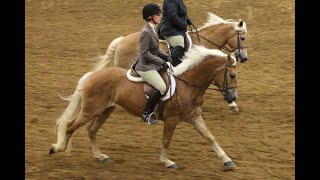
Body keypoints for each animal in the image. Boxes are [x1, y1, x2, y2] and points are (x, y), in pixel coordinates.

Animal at [50, 46, 239, 169]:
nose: (232, 98)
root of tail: (91, 75)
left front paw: (227, 160)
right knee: (71, 126)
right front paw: (166, 161)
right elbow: (166, 140)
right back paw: (58, 148)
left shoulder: (194, 117)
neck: (187, 84)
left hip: (105, 110)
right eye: (232, 75)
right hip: (90, 110)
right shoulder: (172, 119)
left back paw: (100, 156)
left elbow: (210, 137)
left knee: (92, 129)